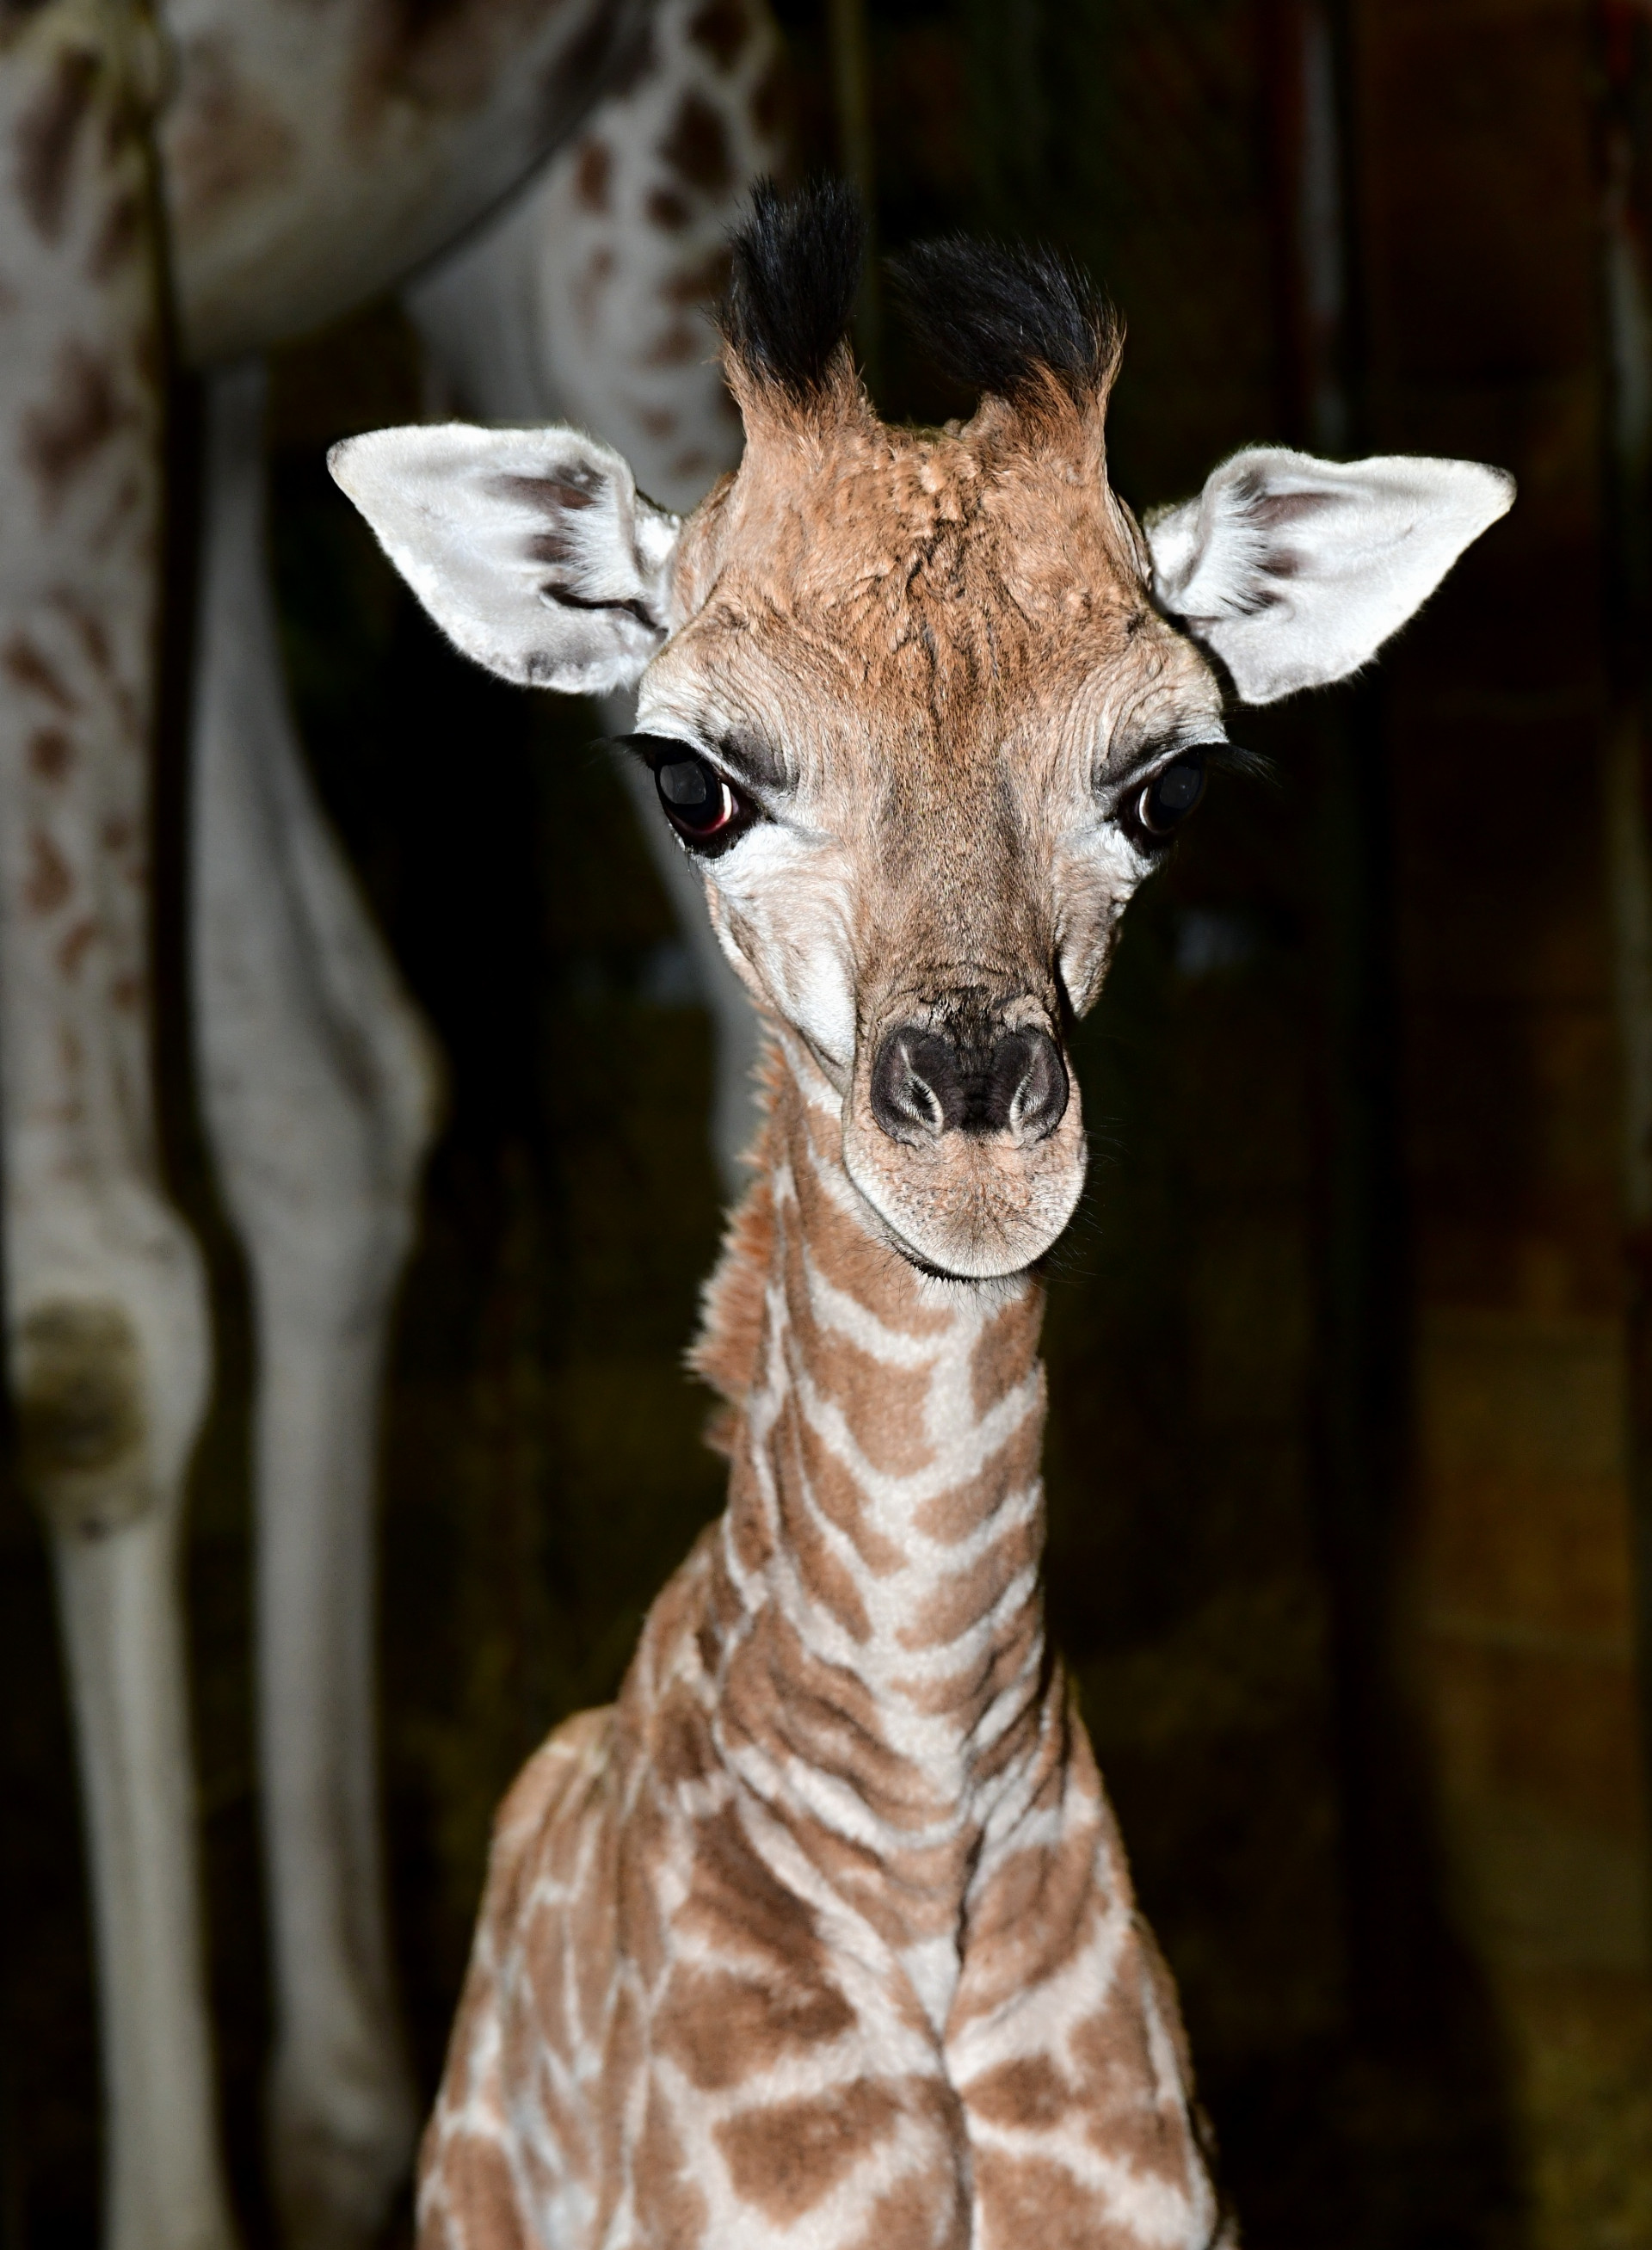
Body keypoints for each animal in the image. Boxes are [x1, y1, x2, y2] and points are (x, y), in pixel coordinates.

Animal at [0, 3, 778, 2246]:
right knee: (333, 1091)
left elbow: (86, 1326)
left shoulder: (47, 139)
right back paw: (364, 2090)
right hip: (241, 329)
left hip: (621, 190)